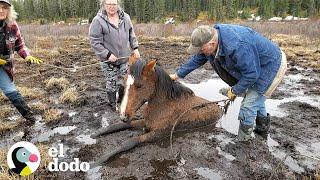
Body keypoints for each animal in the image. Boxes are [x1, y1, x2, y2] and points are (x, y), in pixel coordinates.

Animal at [90, 58, 222, 167]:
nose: (123, 115)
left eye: (139, 85)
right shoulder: (146, 122)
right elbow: (119, 125)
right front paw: (95, 134)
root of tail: (219, 106)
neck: (164, 107)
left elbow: (129, 142)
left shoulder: (159, 133)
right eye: (125, 82)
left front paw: (100, 160)